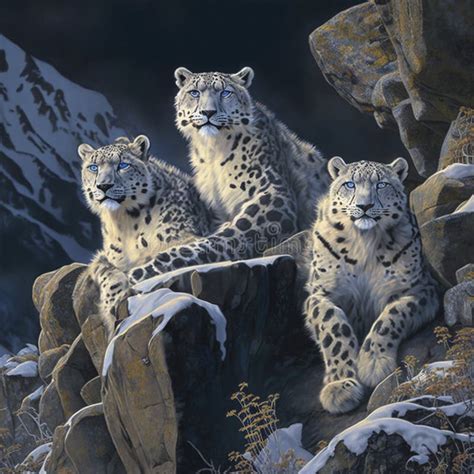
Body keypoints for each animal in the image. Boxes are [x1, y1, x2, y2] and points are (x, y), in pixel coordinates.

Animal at [78, 133, 212, 334]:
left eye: (123, 165)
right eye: (93, 167)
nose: (104, 185)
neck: (123, 222)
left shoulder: (186, 237)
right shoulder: (105, 257)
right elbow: (106, 272)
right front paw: (112, 301)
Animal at [128, 66, 332, 286]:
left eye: (225, 92)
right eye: (194, 92)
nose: (208, 112)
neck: (212, 151)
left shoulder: (272, 193)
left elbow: (229, 236)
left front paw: (148, 268)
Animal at [306, 157, 438, 412]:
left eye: (381, 184)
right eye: (349, 184)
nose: (365, 205)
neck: (363, 241)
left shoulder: (418, 288)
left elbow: (392, 315)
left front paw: (373, 365)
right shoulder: (322, 292)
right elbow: (333, 325)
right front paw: (340, 386)